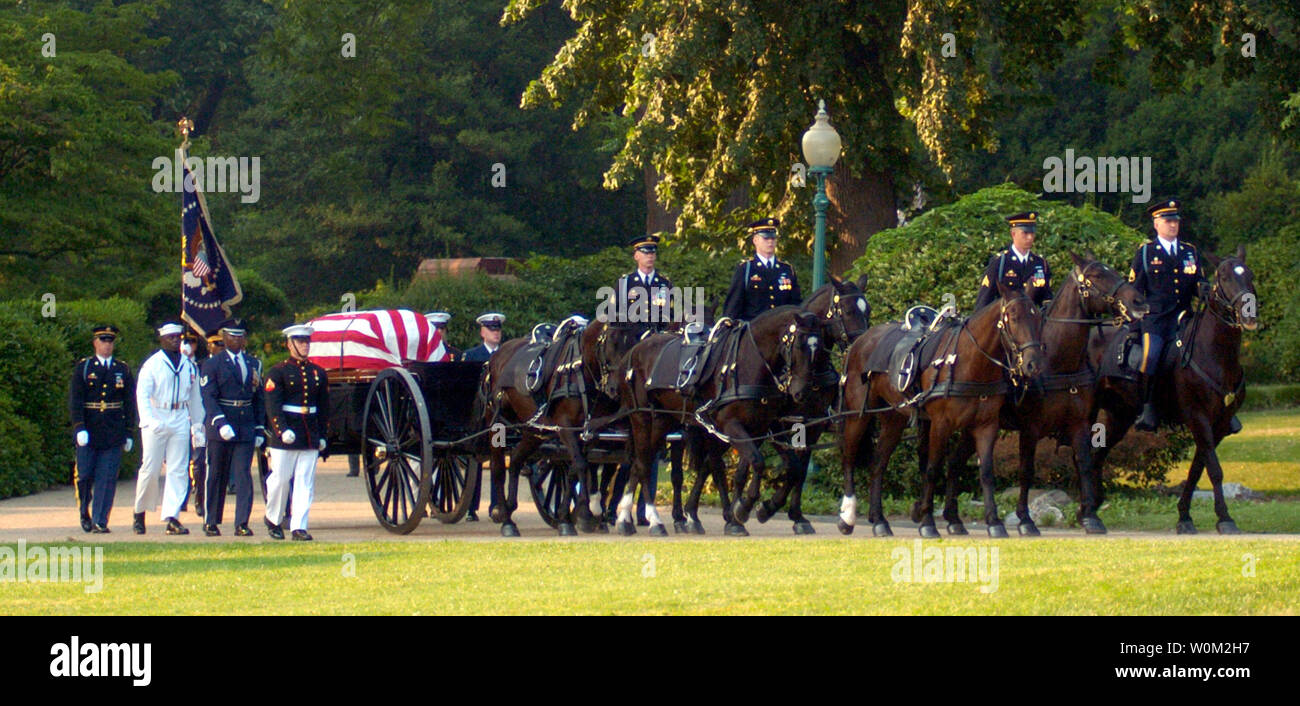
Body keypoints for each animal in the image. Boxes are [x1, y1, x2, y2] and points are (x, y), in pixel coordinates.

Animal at [611, 308, 816, 535]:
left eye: (819, 347)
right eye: (799, 345)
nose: (802, 392)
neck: (749, 362)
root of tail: (634, 351)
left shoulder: (766, 426)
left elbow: (794, 468)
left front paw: (767, 508)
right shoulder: (732, 425)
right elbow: (757, 461)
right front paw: (743, 509)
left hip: (663, 421)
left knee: (642, 463)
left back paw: (630, 519)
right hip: (641, 417)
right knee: (642, 463)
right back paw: (648, 521)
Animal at [754, 273, 873, 533]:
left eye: (867, 310)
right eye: (847, 311)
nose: (861, 345)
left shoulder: (813, 425)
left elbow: (800, 470)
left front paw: (797, 515)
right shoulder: (776, 425)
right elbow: (793, 468)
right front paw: (767, 507)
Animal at [842, 282, 1045, 540]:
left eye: (1037, 317)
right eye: (1014, 318)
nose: (1033, 364)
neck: (970, 361)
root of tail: (860, 341)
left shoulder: (986, 425)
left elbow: (986, 472)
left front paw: (994, 522)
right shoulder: (941, 424)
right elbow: (932, 469)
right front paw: (928, 522)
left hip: (894, 419)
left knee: (878, 463)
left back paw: (879, 520)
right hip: (857, 415)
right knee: (849, 458)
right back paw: (847, 516)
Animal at [935, 254, 1149, 535]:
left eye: (1110, 270)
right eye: (1096, 276)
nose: (1139, 302)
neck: (1058, 361)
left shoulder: (1079, 423)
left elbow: (1084, 462)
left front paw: (1091, 516)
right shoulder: (1030, 427)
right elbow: (1026, 470)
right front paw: (1025, 519)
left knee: (955, 462)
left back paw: (952, 518)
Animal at [1086, 245, 1258, 533]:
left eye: (1250, 275)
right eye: (1224, 277)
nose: (1249, 314)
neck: (1214, 354)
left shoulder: (1219, 423)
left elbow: (1198, 469)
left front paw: (1184, 516)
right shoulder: (1198, 417)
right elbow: (1214, 469)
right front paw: (1225, 518)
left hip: (1119, 416)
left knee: (1097, 454)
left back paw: (1091, 508)